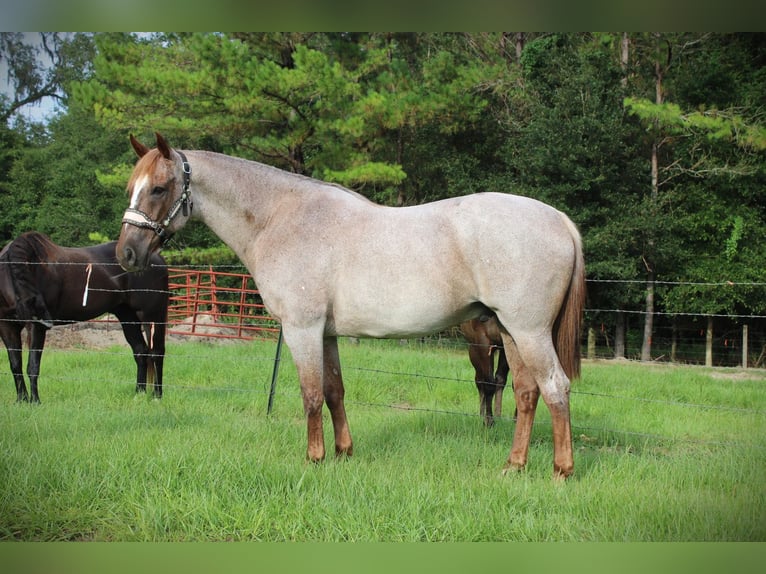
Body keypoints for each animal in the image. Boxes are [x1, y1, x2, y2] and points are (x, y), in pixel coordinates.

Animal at [0, 231, 168, 403]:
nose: (48, 323)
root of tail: (157, 258)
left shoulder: (35, 327)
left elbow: (33, 366)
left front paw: (35, 401)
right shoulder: (7, 326)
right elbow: (15, 365)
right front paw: (21, 400)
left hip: (152, 315)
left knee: (157, 352)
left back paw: (157, 396)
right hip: (128, 316)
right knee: (141, 351)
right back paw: (139, 393)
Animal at [116, 132, 585, 479]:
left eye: (159, 188)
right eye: (130, 188)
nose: (127, 253)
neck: (280, 218)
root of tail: (559, 219)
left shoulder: (302, 329)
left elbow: (310, 394)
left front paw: (315, 458)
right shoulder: (326, 333)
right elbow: (334, 391)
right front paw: (343, 452)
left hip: (528, 331)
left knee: (555, 388)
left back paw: (561, 471)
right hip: (510, 332)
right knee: (527, 392)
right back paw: (514, 465)